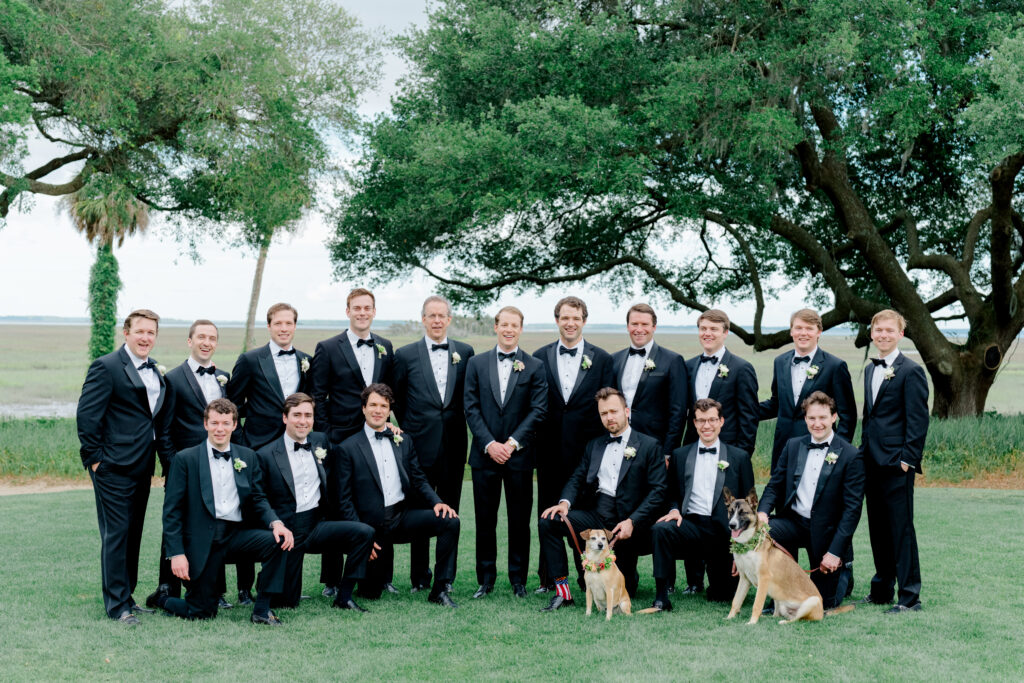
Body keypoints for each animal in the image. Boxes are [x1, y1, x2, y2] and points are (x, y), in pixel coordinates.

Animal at [724, 485, 860, 626]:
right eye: (731, 511)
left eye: (743, 513)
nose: (732, 525)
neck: (748, 544)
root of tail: (823, 612)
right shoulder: (744, 578)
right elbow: (736, 601)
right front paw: (729, 618)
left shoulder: (763, 579)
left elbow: (757, 604)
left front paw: (752, 622)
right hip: (778, 598)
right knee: (778, 614)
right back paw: (768, 617)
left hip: (812, 601)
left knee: (797, 619)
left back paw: (783, 622)